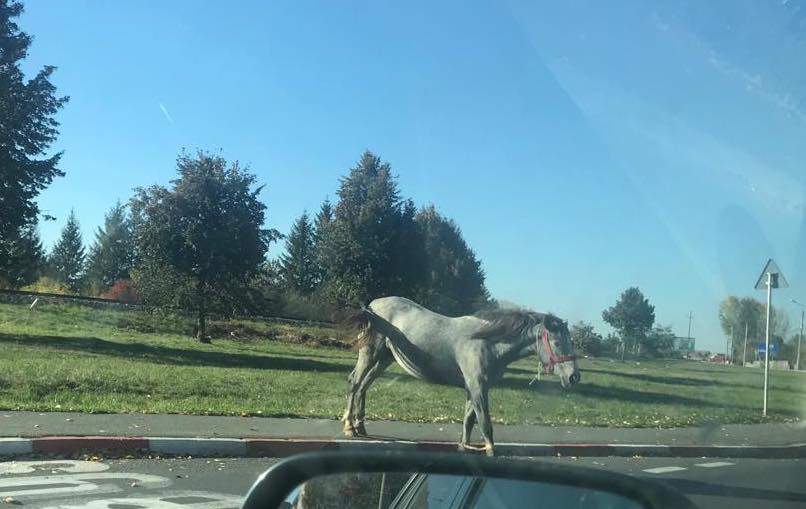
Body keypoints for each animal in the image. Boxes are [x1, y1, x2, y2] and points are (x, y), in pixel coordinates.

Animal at [340, 296, 580, 454]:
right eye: (557, 342)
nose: (574, 377)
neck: (488, 342)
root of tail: (371, 307)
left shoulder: (473, 388)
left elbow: (468, 420)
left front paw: (464, 447)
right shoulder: (477, 386)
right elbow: (484, 423)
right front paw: (490, 450)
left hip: (384, 358)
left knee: (363, 386)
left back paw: (360, 426)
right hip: (370, 353)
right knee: (354, 383)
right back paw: (349, 427)